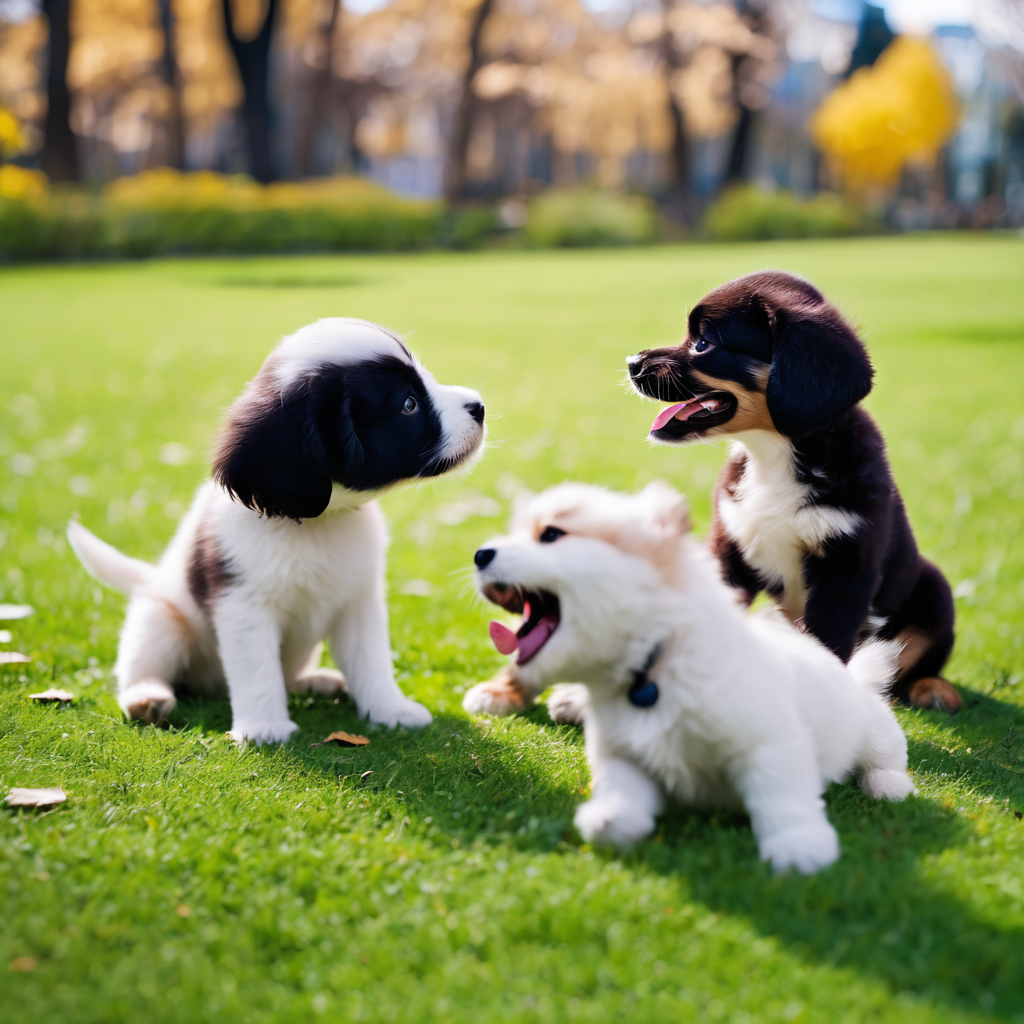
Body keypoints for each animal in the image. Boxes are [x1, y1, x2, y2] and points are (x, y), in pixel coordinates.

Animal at [70, 315, 485, 741]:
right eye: (408, 404)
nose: (480, 407)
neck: (319, 524)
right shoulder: (243, 602)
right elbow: (256, 669)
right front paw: (264, 728)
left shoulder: (359, 599)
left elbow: (371, 659)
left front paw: (391, 710)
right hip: (159, 619)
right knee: (145, 665)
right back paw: (146, 698)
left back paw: (318, 681)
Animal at [475, 479, 917, 872]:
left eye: (550, 535)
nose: (480, 554)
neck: (651, 666)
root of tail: (852, 674)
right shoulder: (624, 756)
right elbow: (623, 789)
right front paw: (610, 819)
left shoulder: (770, 744)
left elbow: (783, 798)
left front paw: (800, 847)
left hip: (874, 727)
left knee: (884, 757)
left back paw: (888, 786)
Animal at [622, 272, 958, 712]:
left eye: (703, 342)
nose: (631, 363)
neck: (775, 456)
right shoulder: (728, 549)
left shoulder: (845, 572)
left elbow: (829, 645)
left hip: (935, 591)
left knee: (914, 660)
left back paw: (932, 689)